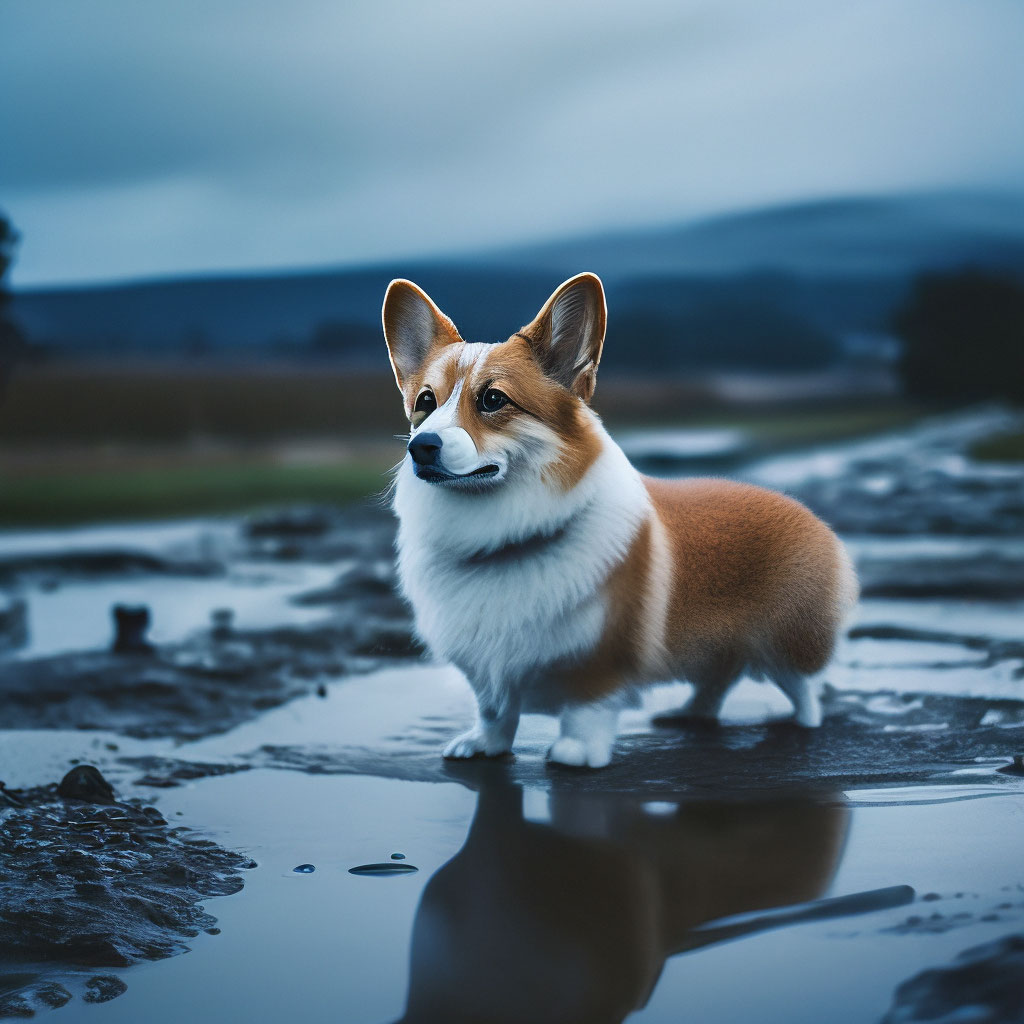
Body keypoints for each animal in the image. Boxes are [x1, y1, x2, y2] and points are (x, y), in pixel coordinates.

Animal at [382, 272, 856, 770]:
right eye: (425, 402)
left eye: (493, 399)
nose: (422, 447)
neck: (501, 538)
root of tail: (805, 511)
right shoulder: (487, 668)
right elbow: (494, 711)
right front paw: (483, 745)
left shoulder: (600, 658)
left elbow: (585, 709)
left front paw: (575, 753)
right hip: (715, 643)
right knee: (719, 678)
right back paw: (689, 713)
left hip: (784, 642)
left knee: (802, 687)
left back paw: (803, 724)